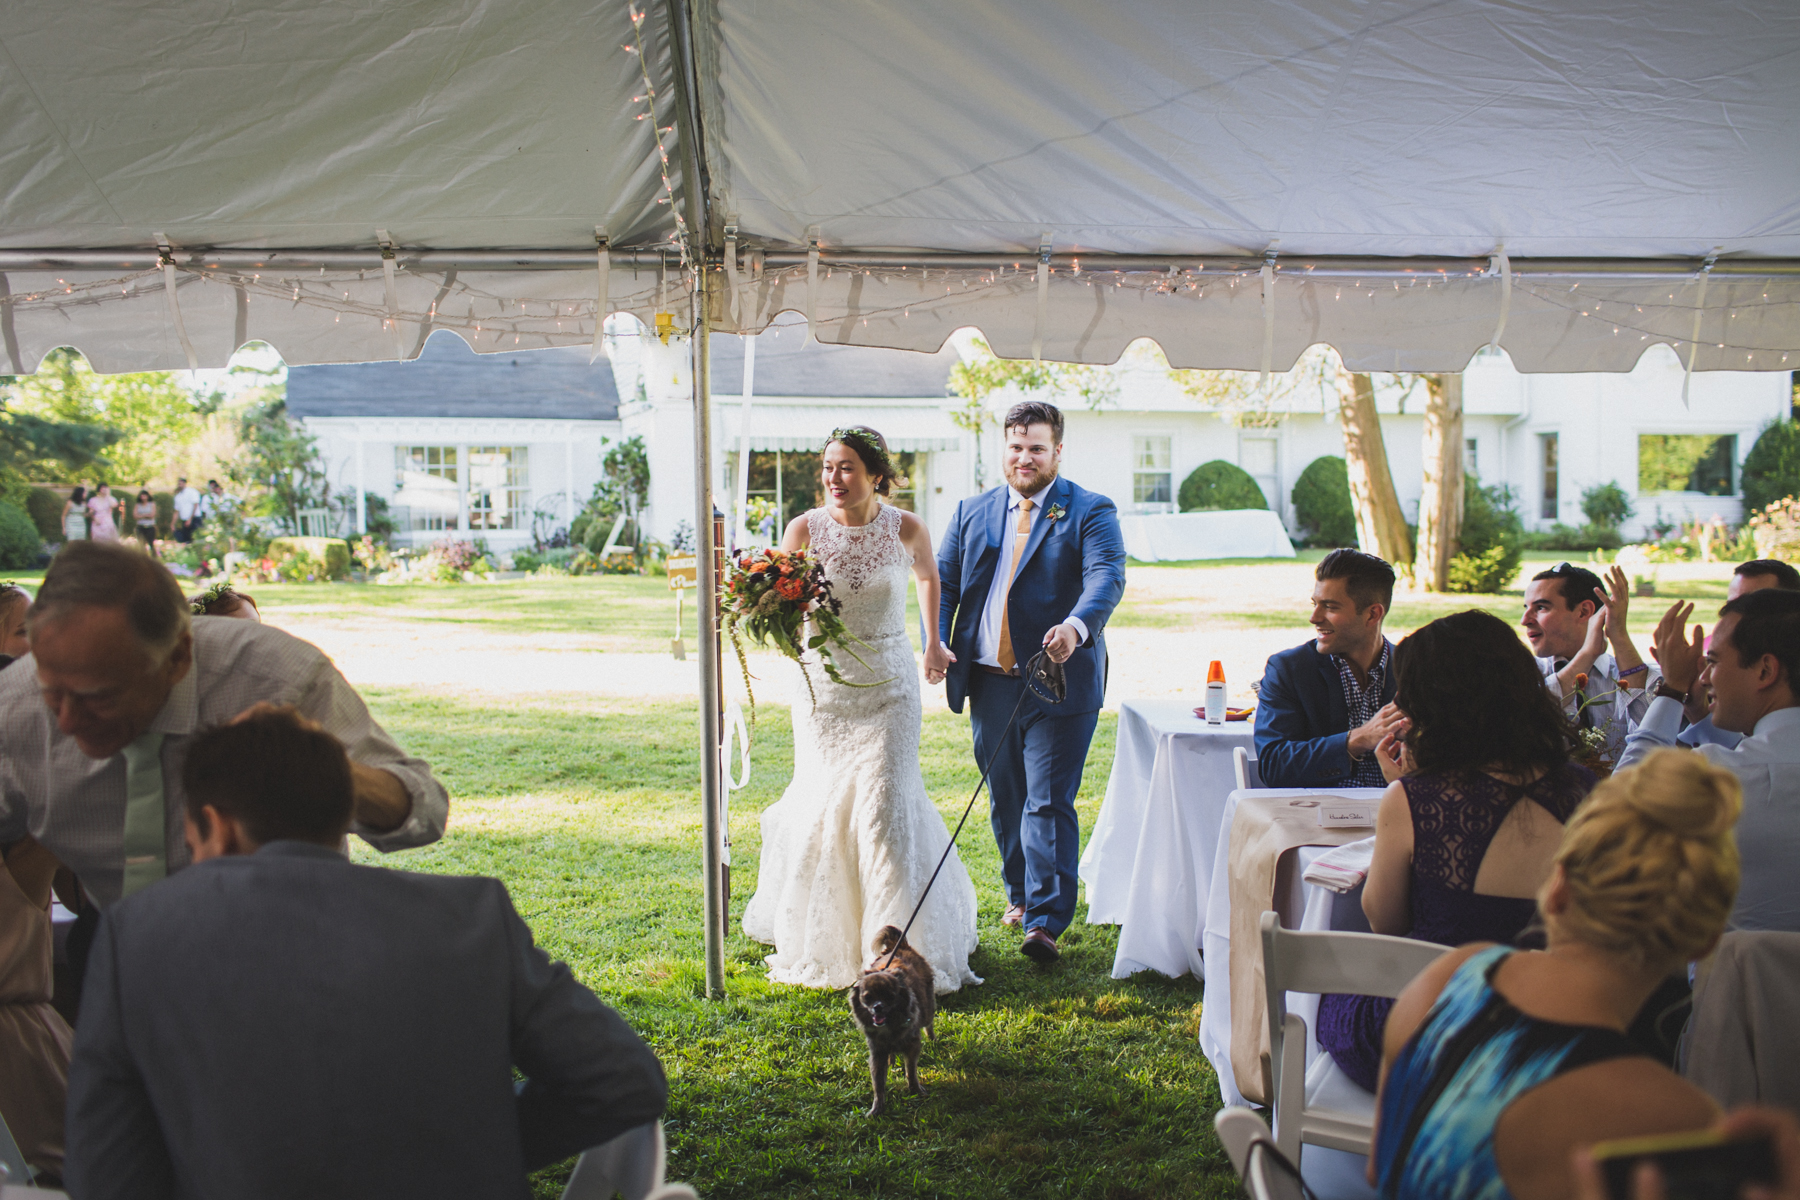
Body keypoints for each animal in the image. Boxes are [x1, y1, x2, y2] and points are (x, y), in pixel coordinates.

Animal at [846, 928, 936, 1115]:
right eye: (867, 997)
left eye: (889, 996)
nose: (877, 1007)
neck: (889, 1027)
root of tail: (899, 946)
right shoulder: (877, 1052)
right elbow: (878, 1083)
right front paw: (877, 1107)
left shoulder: (912, 1045)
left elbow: (911, 1070)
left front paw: (915, 1089)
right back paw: (892, 1060)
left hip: (928, 1010)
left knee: (928, 1024)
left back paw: (933, 1040)